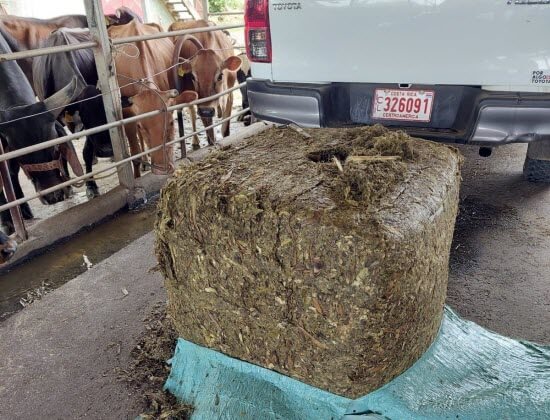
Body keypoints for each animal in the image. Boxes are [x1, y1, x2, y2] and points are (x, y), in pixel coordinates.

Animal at [171, 19, 243, 149]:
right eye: (193, 77)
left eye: (220, 76)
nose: (206, 111)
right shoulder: (201, 102)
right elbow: (208, 129)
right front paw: (211, 142)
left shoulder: (229, 94)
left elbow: (225, 130)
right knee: (192, 112)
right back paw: (195, 140)